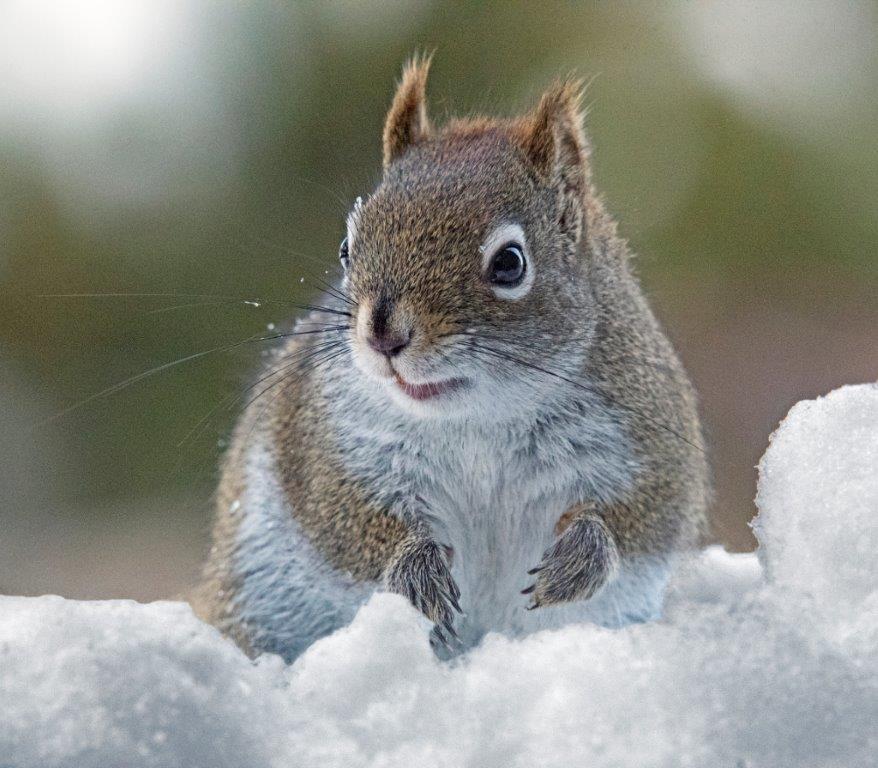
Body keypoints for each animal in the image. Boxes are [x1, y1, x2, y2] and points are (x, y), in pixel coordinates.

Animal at [190, 57, 710, 661]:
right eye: (347, 248)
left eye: (510, 263)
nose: (383, 334)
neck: (480, 419)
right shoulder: (332, 448)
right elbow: (348, 521)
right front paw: (418, 574)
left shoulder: (646, 439)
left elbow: (639, 518)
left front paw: (579, 560)